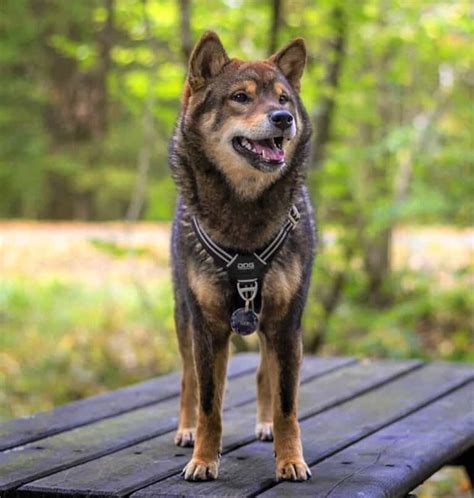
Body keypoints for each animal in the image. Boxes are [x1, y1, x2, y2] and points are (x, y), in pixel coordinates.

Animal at [169, 32, 314, 482]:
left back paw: (265, 425)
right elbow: (209, 403)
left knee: (266, 373)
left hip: (270, 325)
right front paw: (203, 459)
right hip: (184, 318)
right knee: (188, 379)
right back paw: (185, 430)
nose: (283, 118)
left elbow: (287, 402)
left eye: (283, 98)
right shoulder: (208, 327)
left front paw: (290, 459)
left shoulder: (287, 324)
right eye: (240, 97)